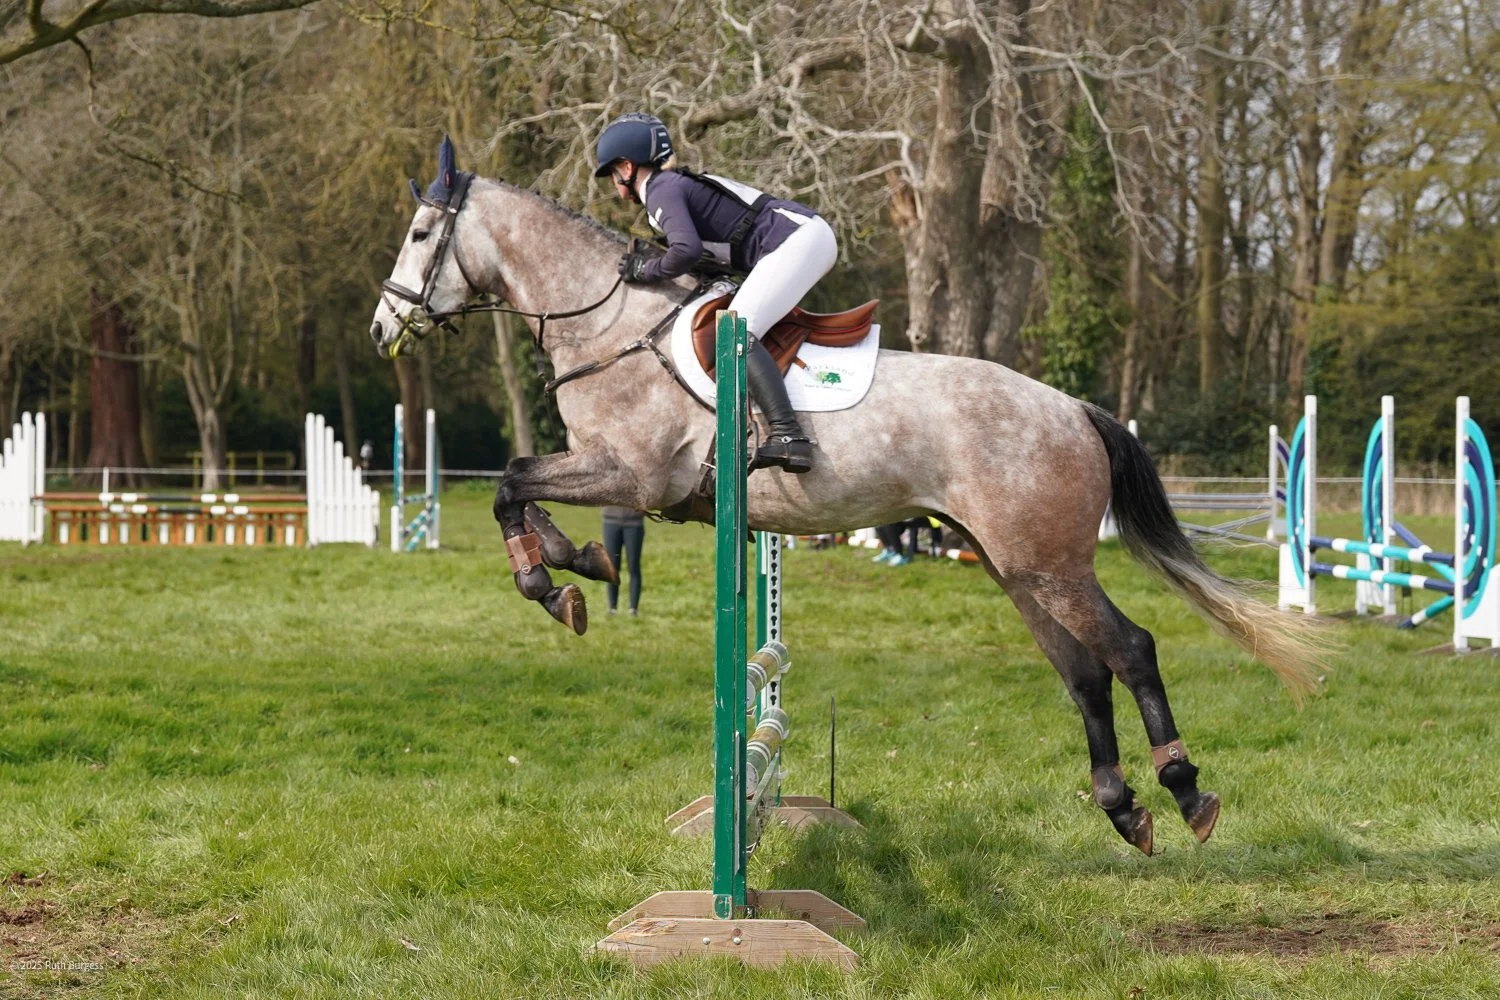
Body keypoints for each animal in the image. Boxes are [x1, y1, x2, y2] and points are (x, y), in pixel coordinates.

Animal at [368, 141, 1322, 855]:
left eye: (419, 233)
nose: (383, 329)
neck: (609, 322)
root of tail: (1075, 410)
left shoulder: (632, 475)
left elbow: (510, 480)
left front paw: (554, 579)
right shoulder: (610, 472)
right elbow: (518, 483)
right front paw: (576, 569)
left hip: (1050, 564)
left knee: (1131, 649)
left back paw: (1186, 790)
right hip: (1016, 565)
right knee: (1084, 671)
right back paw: (1122, 806)